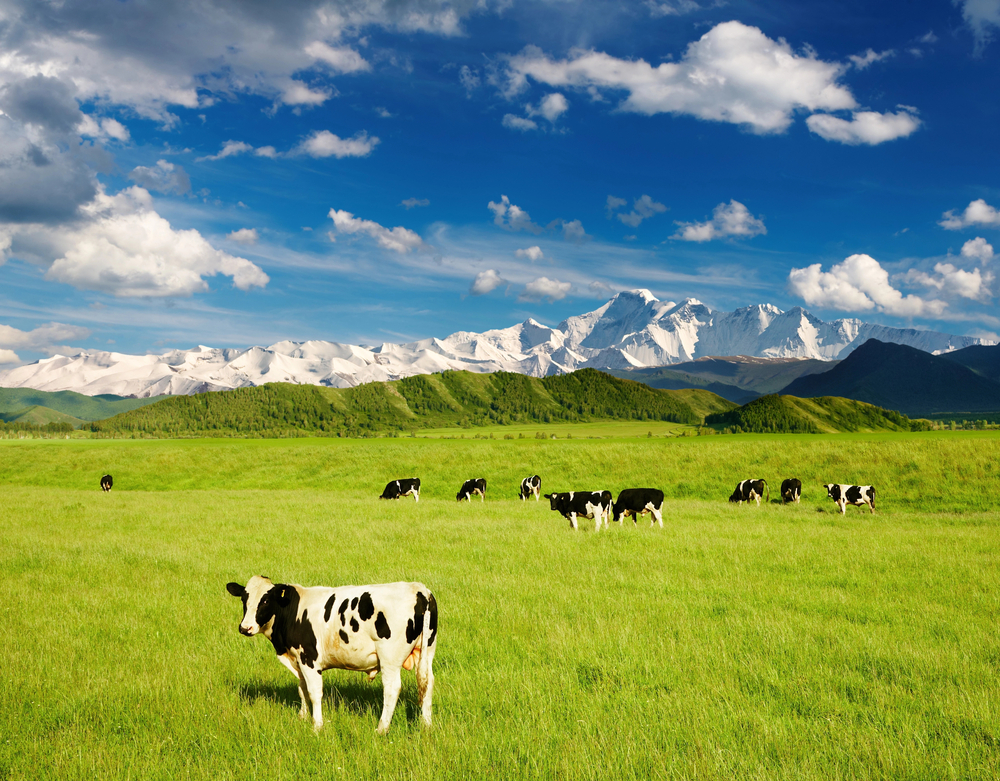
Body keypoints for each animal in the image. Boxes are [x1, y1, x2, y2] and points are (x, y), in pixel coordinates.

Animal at [229, 572, 436, 732]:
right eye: (244, 599)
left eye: (265, 600)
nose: (245, 628)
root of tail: (418, 589)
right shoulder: (298, 660)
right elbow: (302, 689)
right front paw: (302, 716)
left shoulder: (309, 658)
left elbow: (314, 692)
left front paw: (317, 726)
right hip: (427, 652)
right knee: (428, 683)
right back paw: (426, 725)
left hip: (389, 658)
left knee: (392, 689)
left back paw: (381, 729)